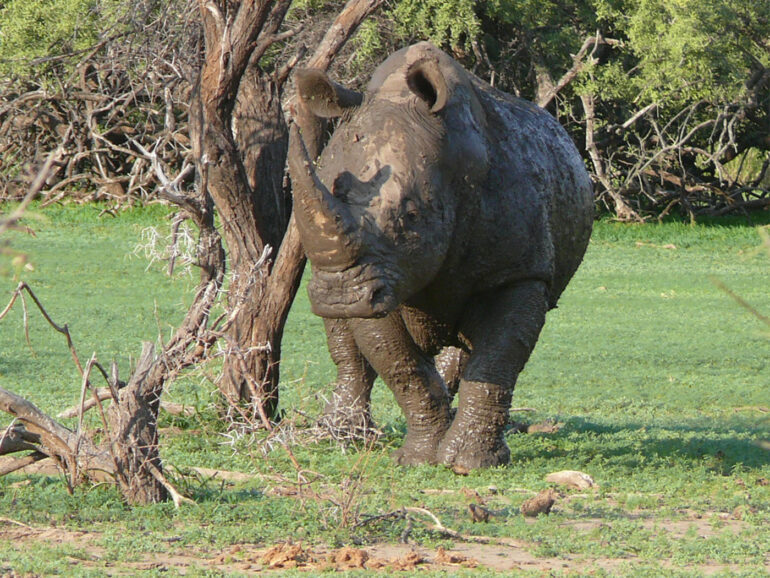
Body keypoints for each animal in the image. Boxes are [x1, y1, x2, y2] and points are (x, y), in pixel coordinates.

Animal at [288, 42, 593, 470]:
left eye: (412, 215)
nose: (340, 296)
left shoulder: (519, 272)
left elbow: (497, 359)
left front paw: (467, 464)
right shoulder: (377, 279)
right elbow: (400, 365)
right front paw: (419, 459)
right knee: (350, 345)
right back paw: (340, 436)